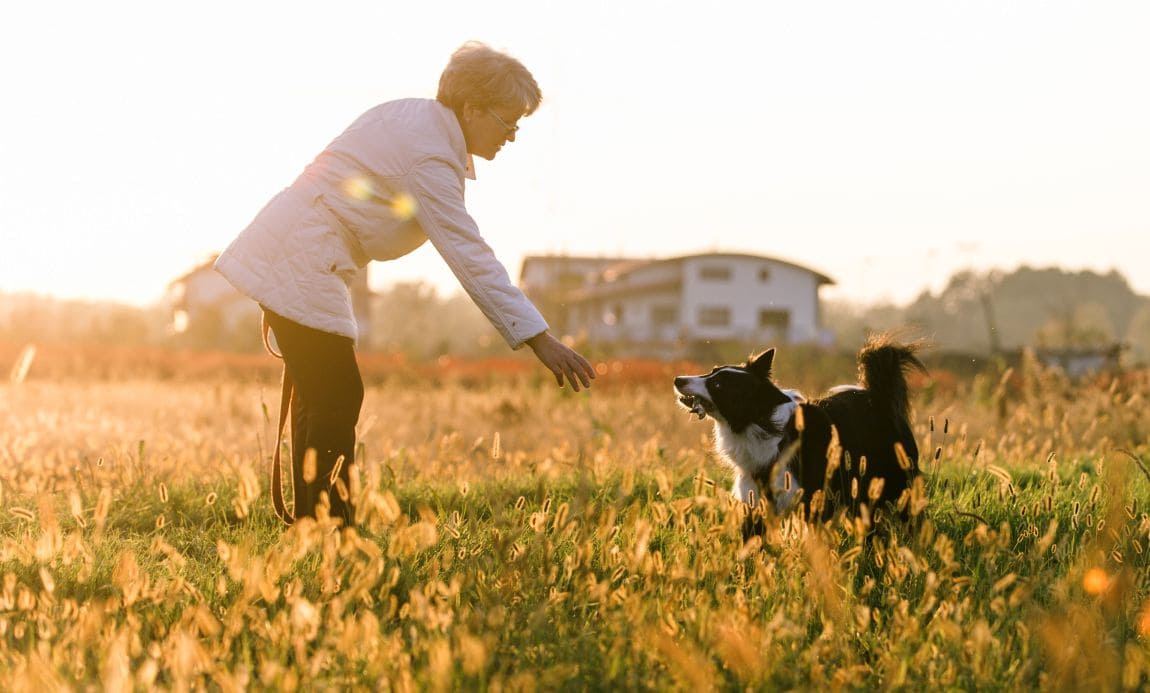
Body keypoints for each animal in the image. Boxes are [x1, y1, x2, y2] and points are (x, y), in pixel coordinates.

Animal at [671, 333, 924, 524]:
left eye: (717, 385)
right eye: (712, 371)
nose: (678, 379)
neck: (759, 425)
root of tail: (879, 398)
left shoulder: (812, 500)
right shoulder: (756, 500)